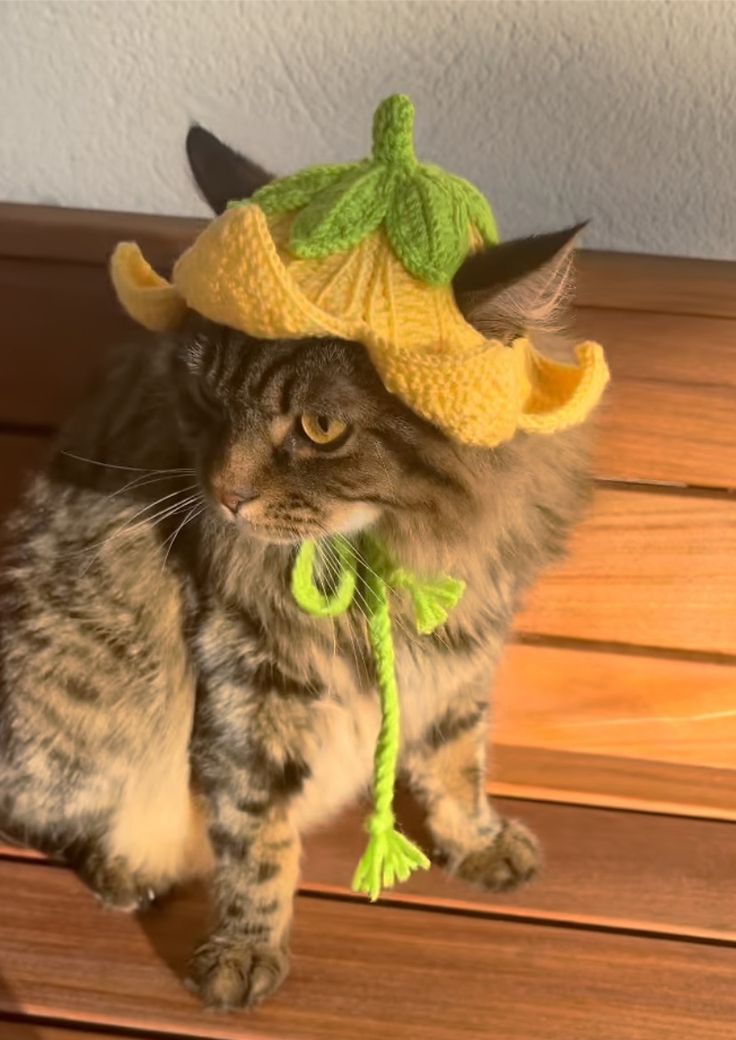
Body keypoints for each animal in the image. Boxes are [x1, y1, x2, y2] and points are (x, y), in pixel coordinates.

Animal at [0, 125, 594, 1010]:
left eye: (319, 428)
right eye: (208, 395)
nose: (223, 493)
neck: (382, 559)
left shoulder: (460, 653)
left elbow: (456, 760)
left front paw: (479, 841)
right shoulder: (250, 675)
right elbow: (257, 831)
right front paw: (244, 951)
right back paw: (129, 867)